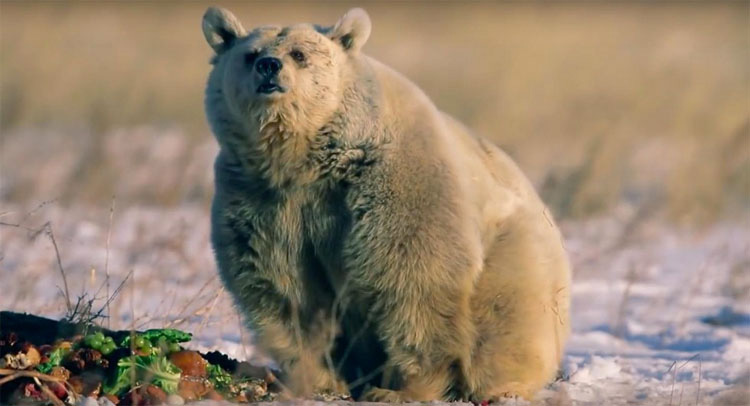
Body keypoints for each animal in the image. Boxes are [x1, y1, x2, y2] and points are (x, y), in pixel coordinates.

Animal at [203, 6, 572, 402]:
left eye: (299, 54)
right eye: (250, 54)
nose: (269, 67)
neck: (306, 159)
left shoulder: (395, 177)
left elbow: (411, 273)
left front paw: (401, 388)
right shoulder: (262, 197)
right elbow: (285, 287)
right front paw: (320, 376)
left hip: (516, 255)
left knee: (507, 319)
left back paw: (497, 384)